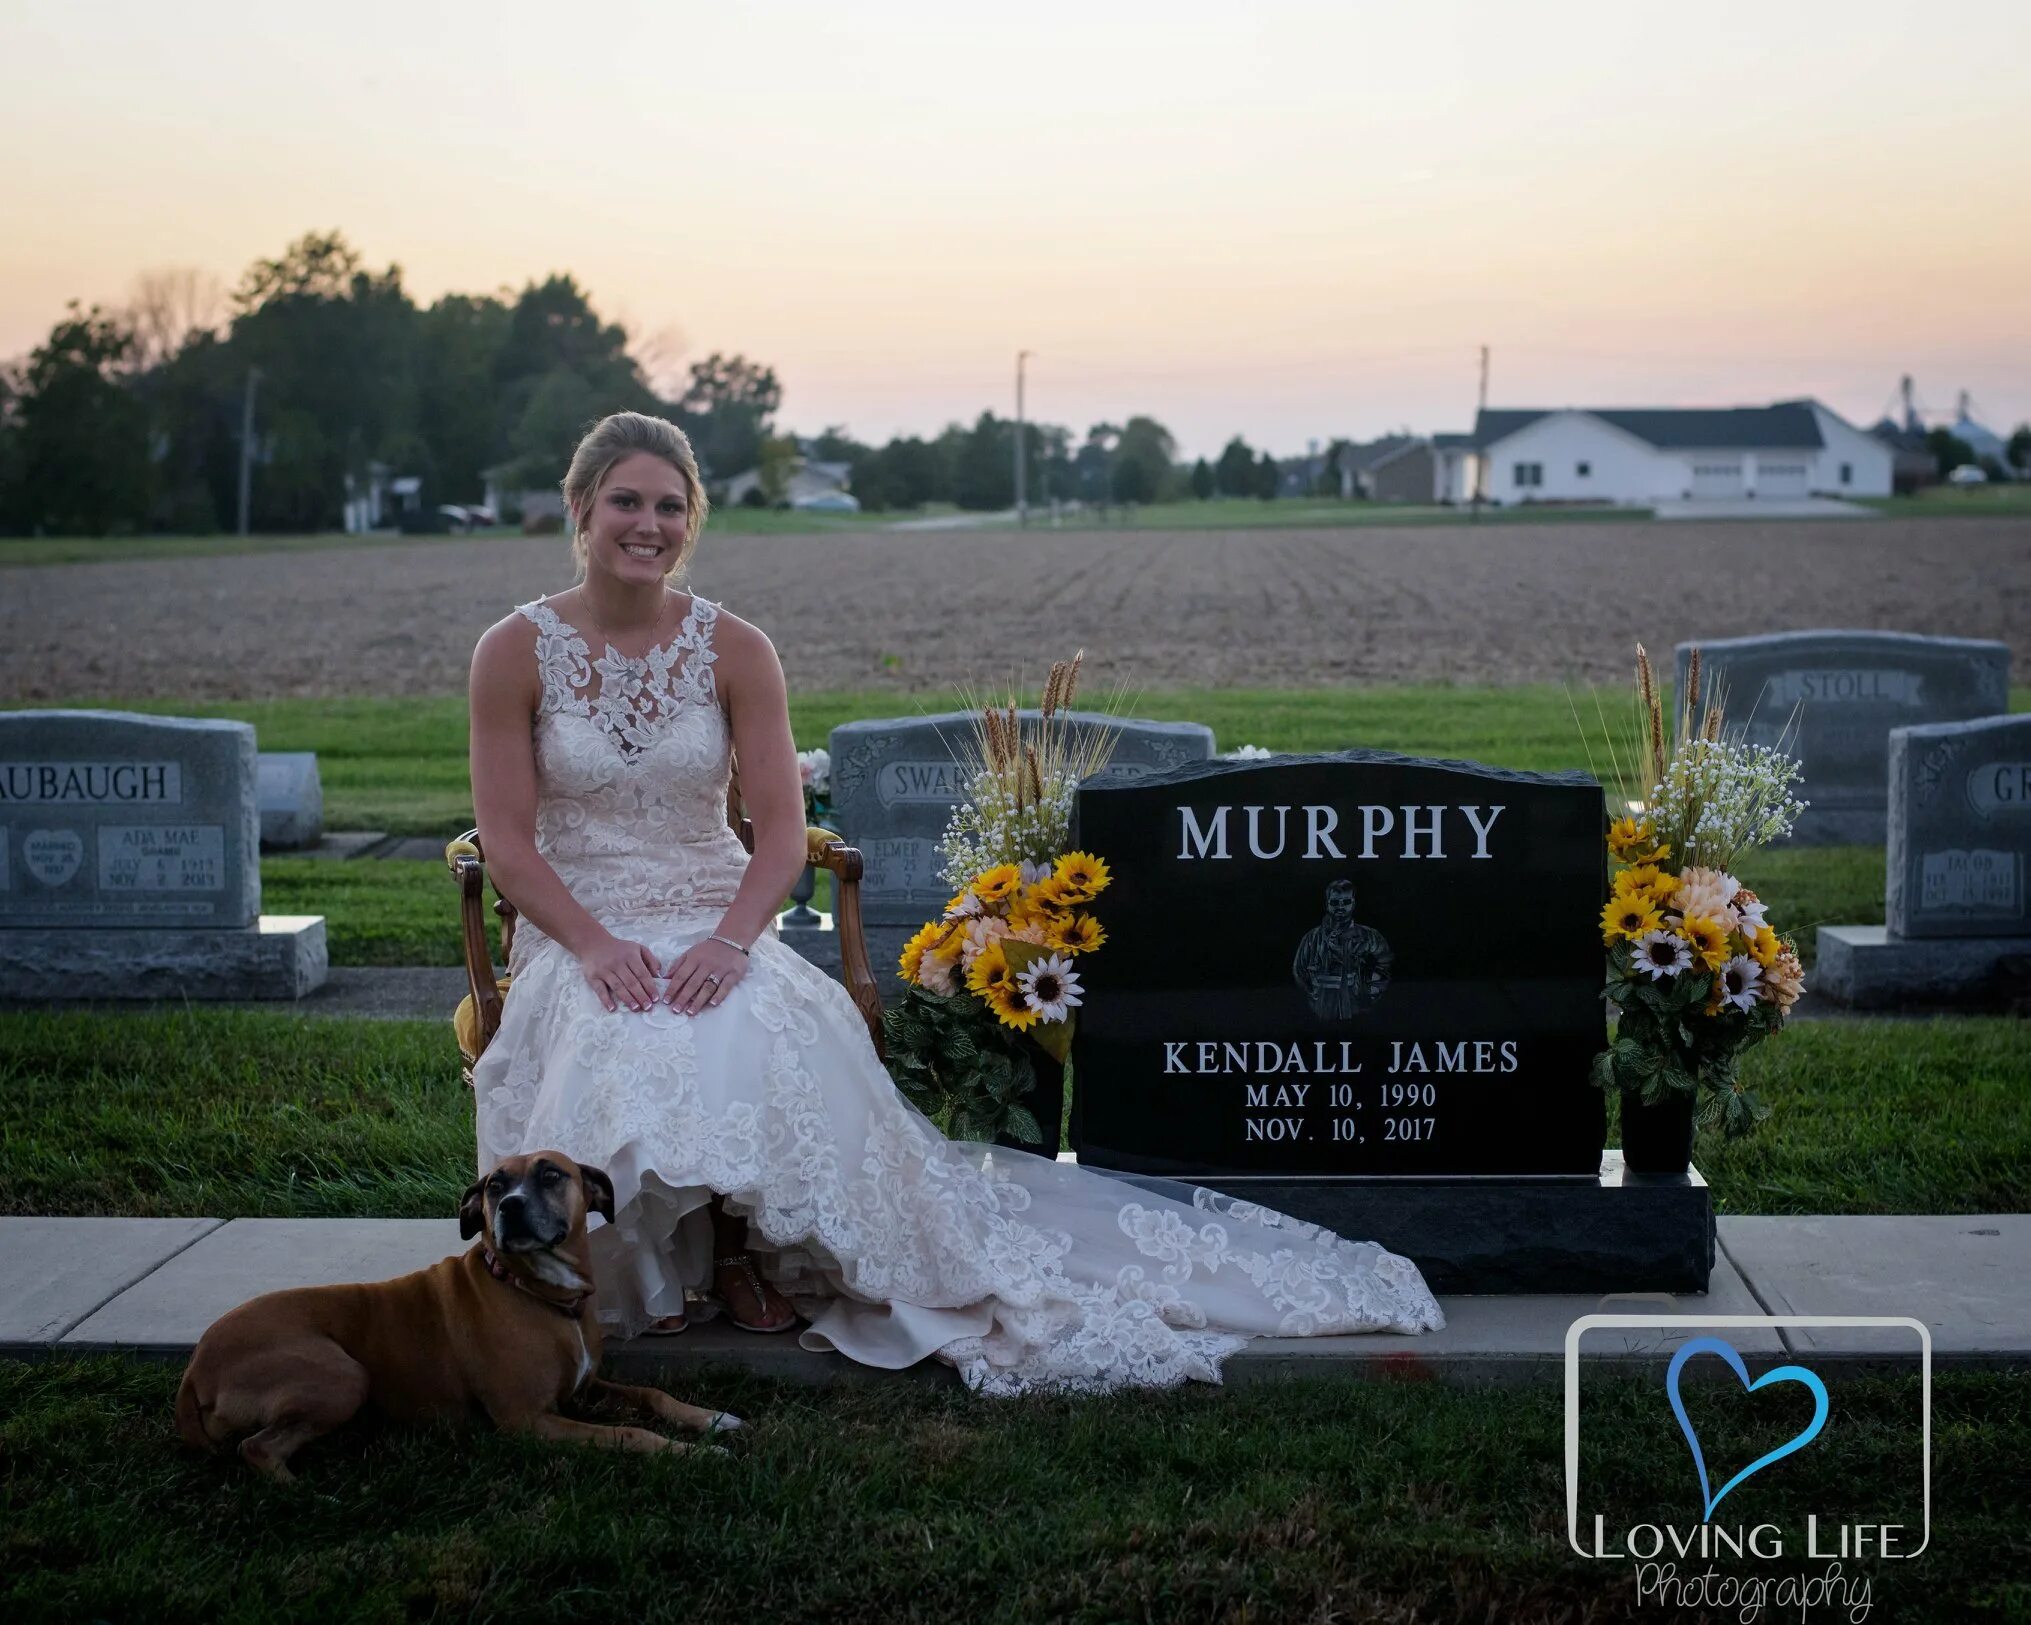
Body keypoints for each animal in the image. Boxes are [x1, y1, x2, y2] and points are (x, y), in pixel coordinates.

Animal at [172, 1145, 731, 1478]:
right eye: (494, 1186)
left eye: (552, 1174)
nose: (509, 1207)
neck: (538, 1294)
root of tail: (197, 1367)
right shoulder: (530, 1421)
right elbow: (628, 1432)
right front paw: (691, 1453)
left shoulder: (585, 1387)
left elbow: (651, 1394)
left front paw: (711, 1418)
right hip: (342, 1375)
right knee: (257, 1449)